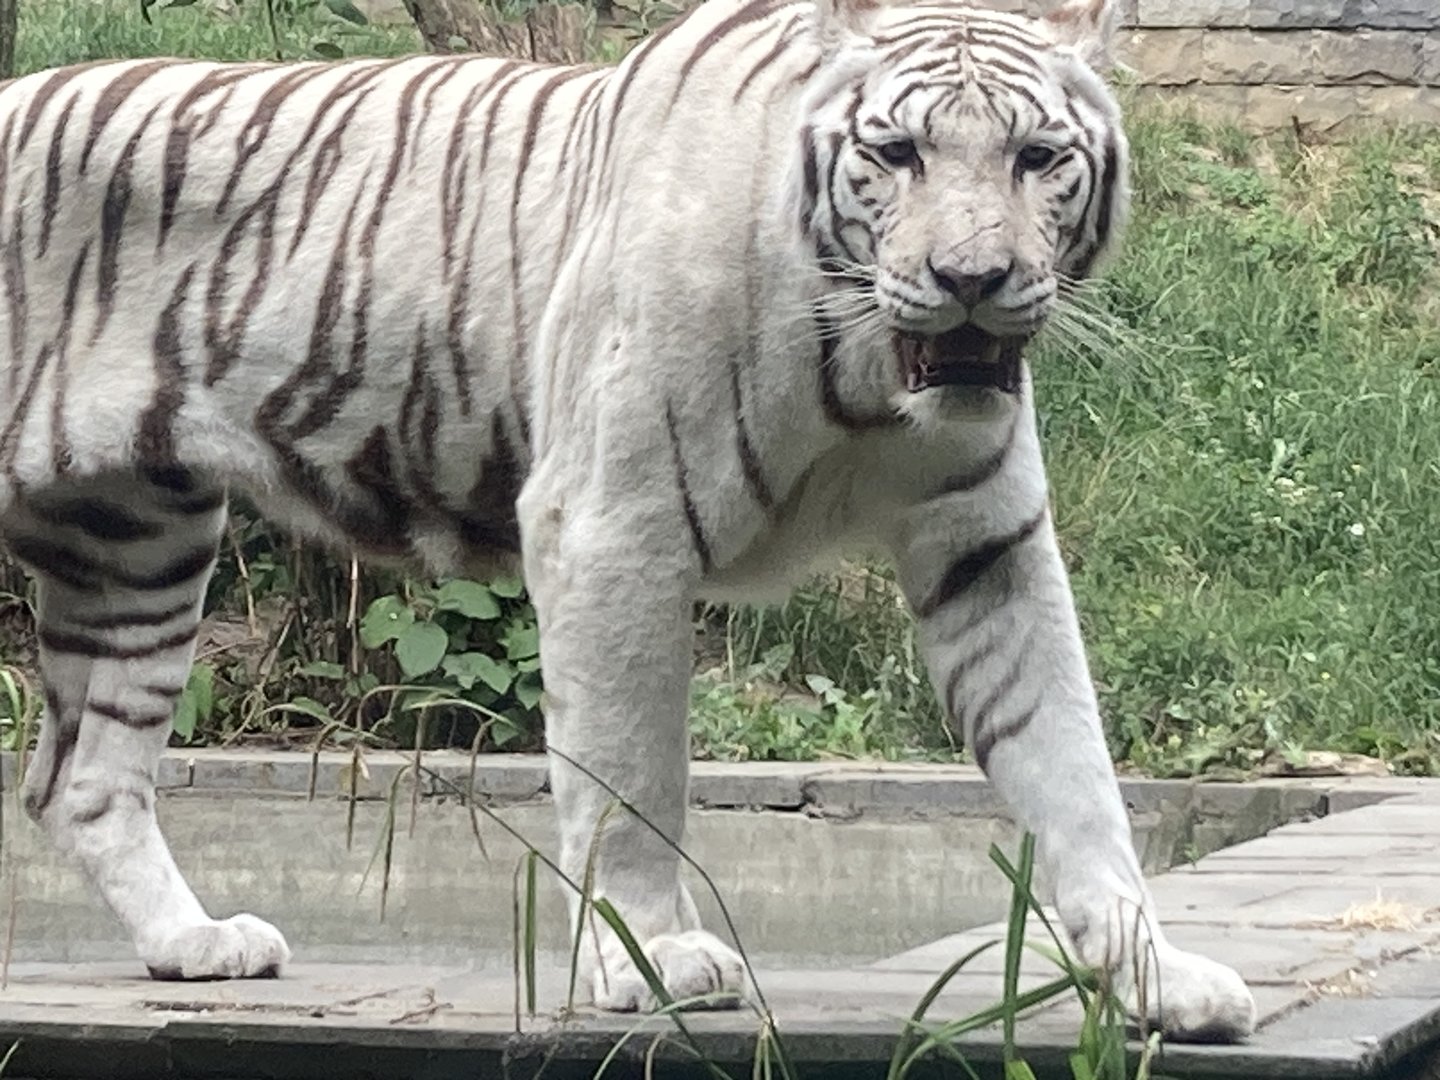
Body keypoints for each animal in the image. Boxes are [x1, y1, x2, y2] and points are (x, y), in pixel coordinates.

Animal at [0, 0, 1256, 1041]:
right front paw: (652, 960)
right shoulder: (613, 525)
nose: (971, 278)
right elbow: (633, 772)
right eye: (897, 155)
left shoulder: (988, 547)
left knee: (85, 780)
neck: (862, 372)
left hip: (139, 542)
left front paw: (1156, 975)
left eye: (1037, 159)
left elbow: (1072, 770)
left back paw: (192, 945)